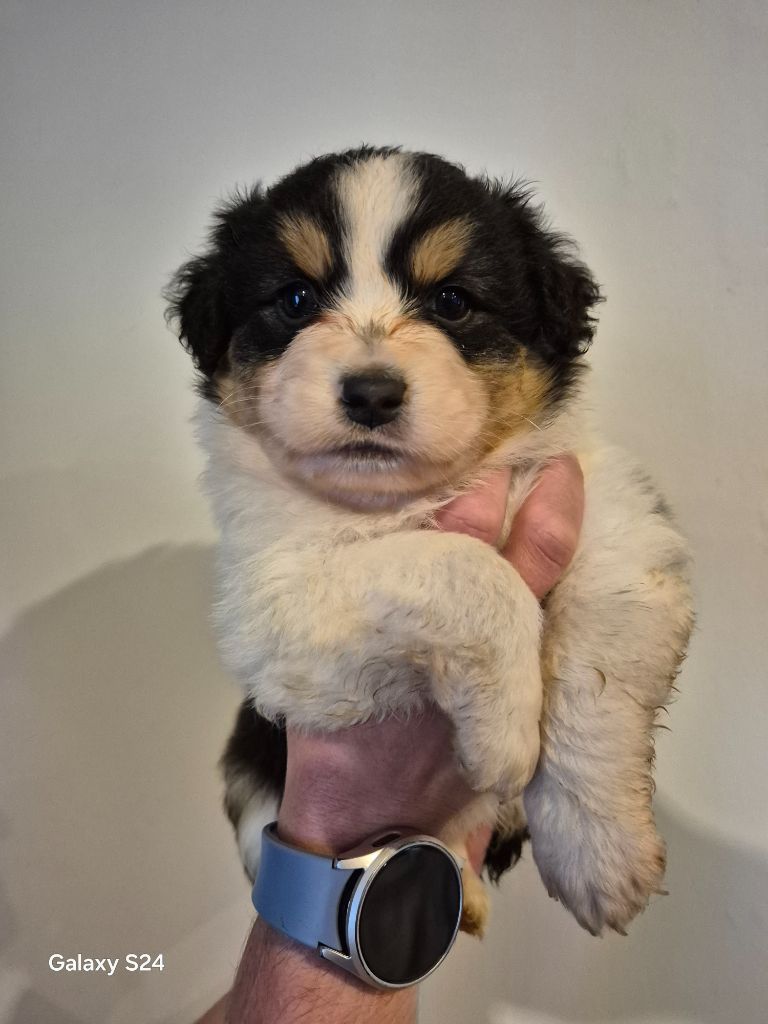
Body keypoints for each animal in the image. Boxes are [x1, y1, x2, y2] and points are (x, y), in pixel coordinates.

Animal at [166, 146, 694, 937]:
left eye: (452, 302)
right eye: (294, 300)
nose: (371, 394)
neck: (413, 496)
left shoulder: (613, 523)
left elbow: (598, 672)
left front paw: (600, 853)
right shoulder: (271, 606)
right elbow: (465, 567)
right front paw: (505, 733)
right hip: (250, 763)